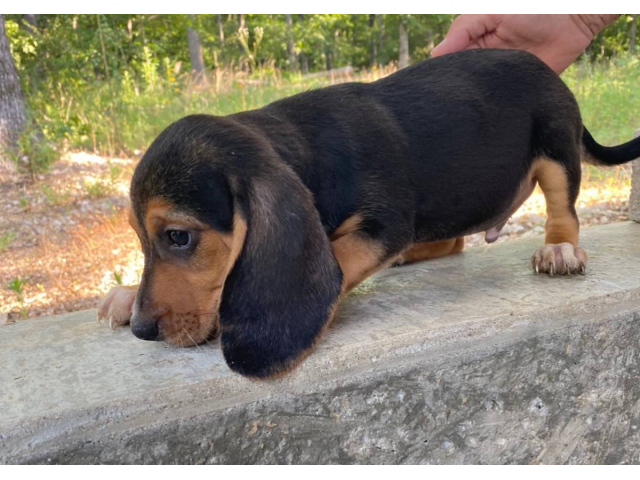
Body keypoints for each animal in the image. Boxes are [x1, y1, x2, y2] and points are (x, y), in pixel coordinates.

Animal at [99, 49, 640, 378]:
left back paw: (560, 249)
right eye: (141, 240)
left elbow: (336, 259)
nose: (144, 329)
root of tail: (548, 69)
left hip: (555, 145)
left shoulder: (385, 223)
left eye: (179, 237)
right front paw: (126, 295)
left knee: (563, 208)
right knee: (451, 240)